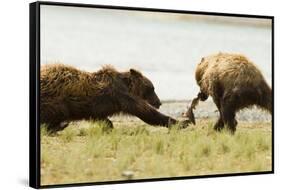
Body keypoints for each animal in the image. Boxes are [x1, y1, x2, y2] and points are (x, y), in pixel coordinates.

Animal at [41, 63, 186, 132]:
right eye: (152, 88)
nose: (159, 102)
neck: (129, 87)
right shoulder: (123, 97)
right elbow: (147, 113)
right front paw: (181, 123)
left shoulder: (99, 107)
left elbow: (102, 118)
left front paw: (108, 127)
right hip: (56, 100)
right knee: (57, 112)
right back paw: (58, 126)